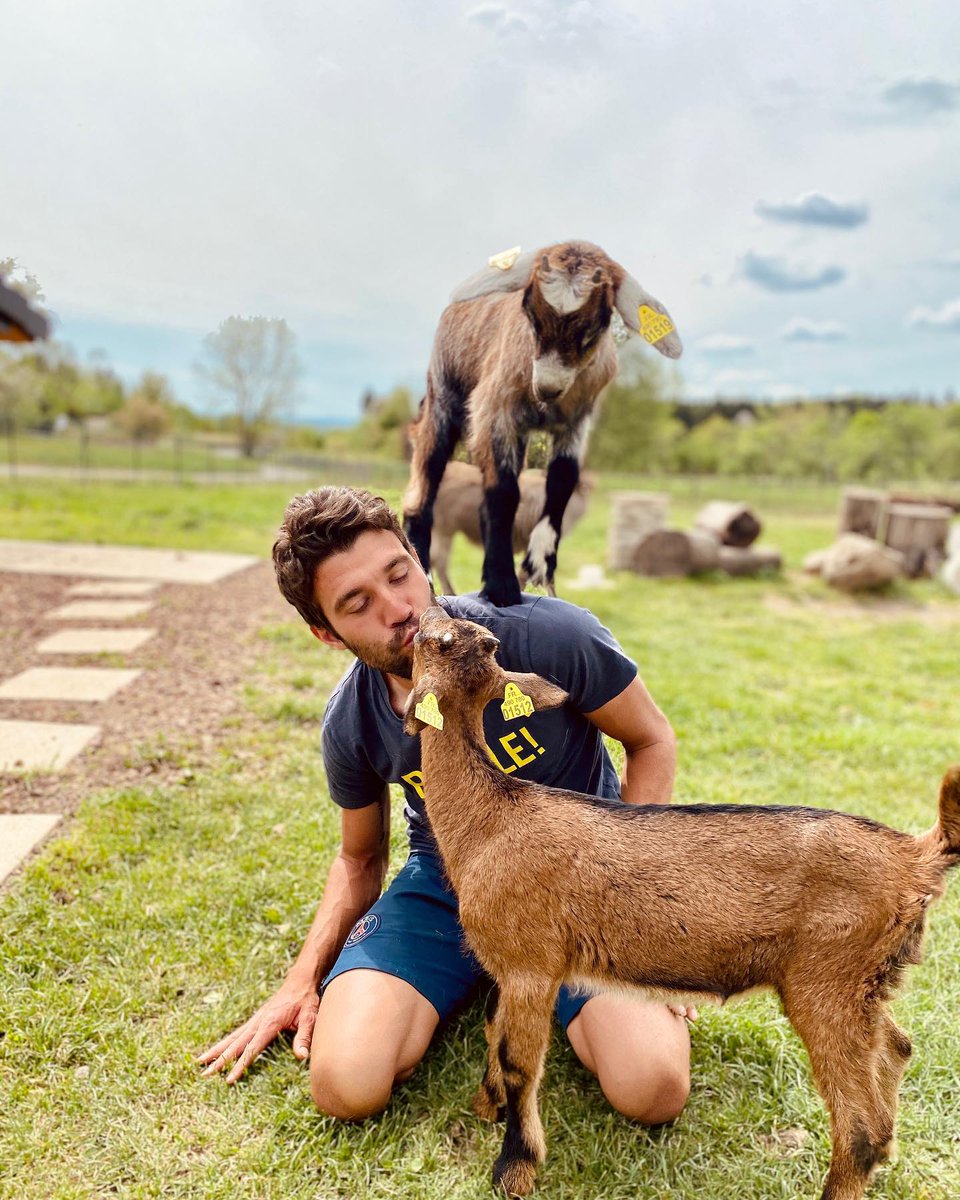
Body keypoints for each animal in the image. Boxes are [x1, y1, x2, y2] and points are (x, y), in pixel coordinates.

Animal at [404, 605, 960, 1200]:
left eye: (437, 640)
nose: (428, 608)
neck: (489, 819)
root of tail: (914, 856)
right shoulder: (505, 969)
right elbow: (493, 1031)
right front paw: (485, 1108)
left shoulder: (532, 966)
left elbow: (519, 1065)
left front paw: (513, 1170)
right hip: (868, 984)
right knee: (898, 1050)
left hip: (827, 982)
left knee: (860, 1129)